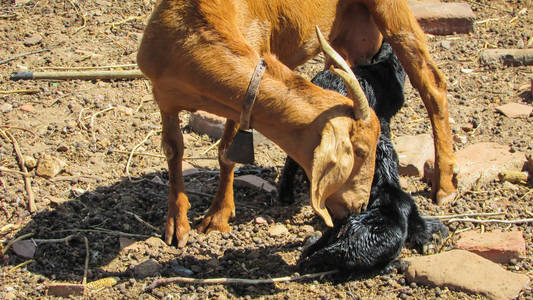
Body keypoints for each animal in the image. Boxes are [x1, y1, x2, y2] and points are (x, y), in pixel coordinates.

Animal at [136, 0, 454, 248]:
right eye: (360, 151)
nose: (359, 206)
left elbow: (226, 152)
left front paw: (217, 218)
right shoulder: (163, 96)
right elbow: (173, 151)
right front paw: (177, 226)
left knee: (431, 82)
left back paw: (444, 186)